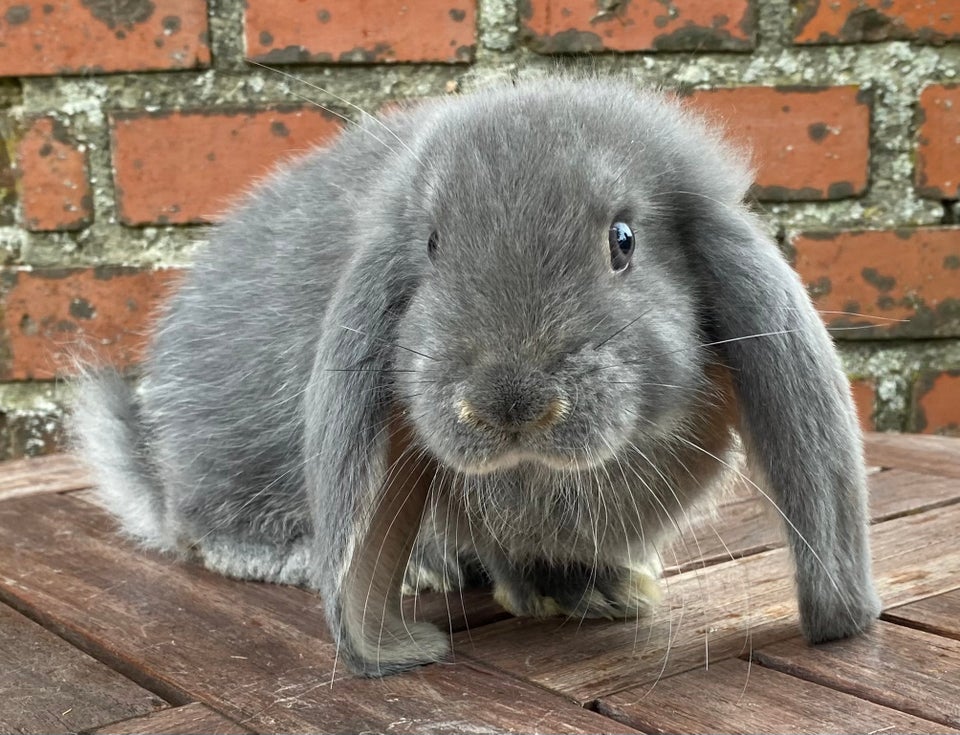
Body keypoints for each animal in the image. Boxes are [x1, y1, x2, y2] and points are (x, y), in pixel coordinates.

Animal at [73, 76, 884, 680]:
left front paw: (606, 591)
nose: (509, 402)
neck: (541, 476)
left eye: (623, 240)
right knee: (206, 530)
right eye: (430, 244)